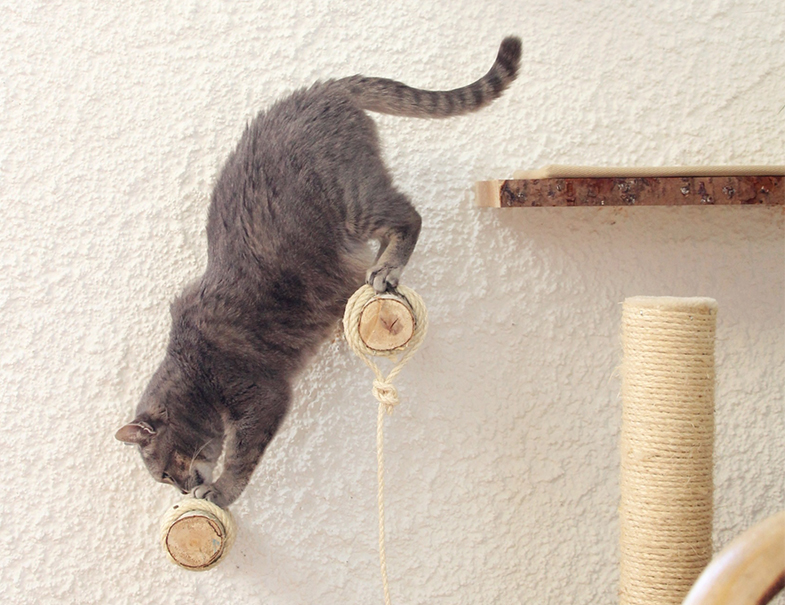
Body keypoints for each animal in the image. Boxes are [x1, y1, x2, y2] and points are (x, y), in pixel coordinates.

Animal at [115, 36, 520, 510]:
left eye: (163, 474)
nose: (179, 490)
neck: (194, 369)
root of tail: (322, 89)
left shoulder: (262, 396)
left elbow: (240, 458)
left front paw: (219, 491)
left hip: (354, 204)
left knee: (409, 215)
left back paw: (385, 269)